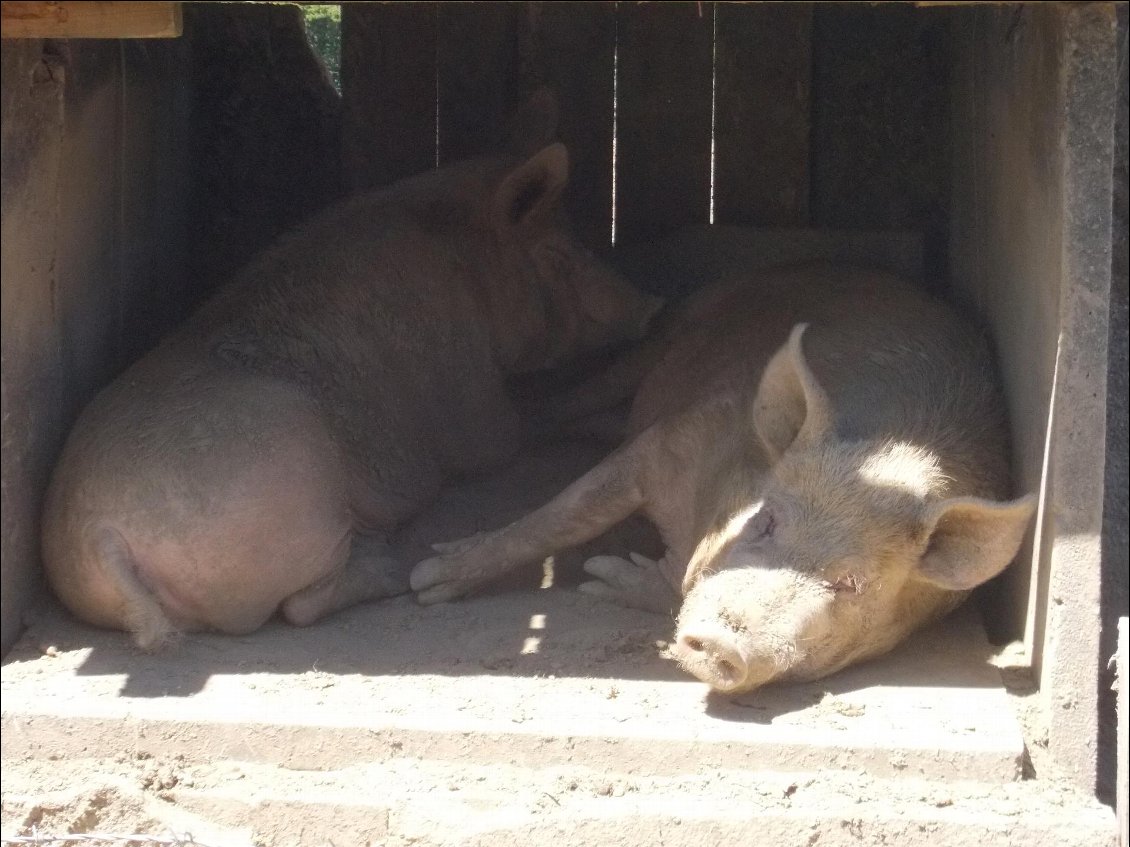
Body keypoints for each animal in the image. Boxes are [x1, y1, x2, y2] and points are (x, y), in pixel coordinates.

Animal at [41, 92, 659, 650]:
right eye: (560, 254)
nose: (652, 306)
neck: (467, 268)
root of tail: (103, 537)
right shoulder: (473, 410)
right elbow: (537, 414)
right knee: (301, 605)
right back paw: (389, 566)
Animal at [411, 265, 1035, 695]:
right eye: (766, 519)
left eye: (852, 583)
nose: (723, 642)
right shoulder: (670, 440)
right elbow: (567, 513)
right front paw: (429, 581)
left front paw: (607, 577)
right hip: (669, 333)